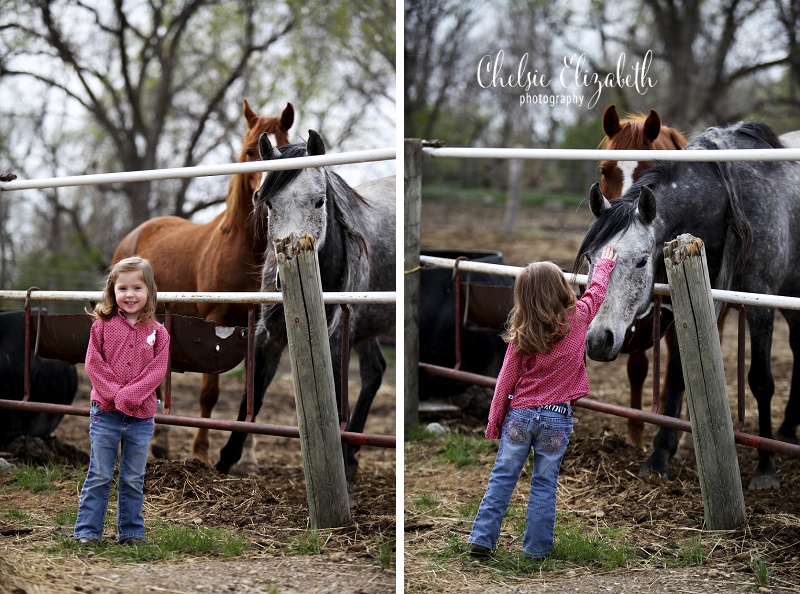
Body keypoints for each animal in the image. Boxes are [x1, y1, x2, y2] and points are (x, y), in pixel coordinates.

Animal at [114, 98, 296, 468]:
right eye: (249, 151)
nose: (262, 197)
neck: (242, 251)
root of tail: (134, 235)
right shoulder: (215, 322)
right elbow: (208, 394)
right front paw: (200, 452)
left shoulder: (256, 329)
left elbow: (252, 392)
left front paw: (249, 459)